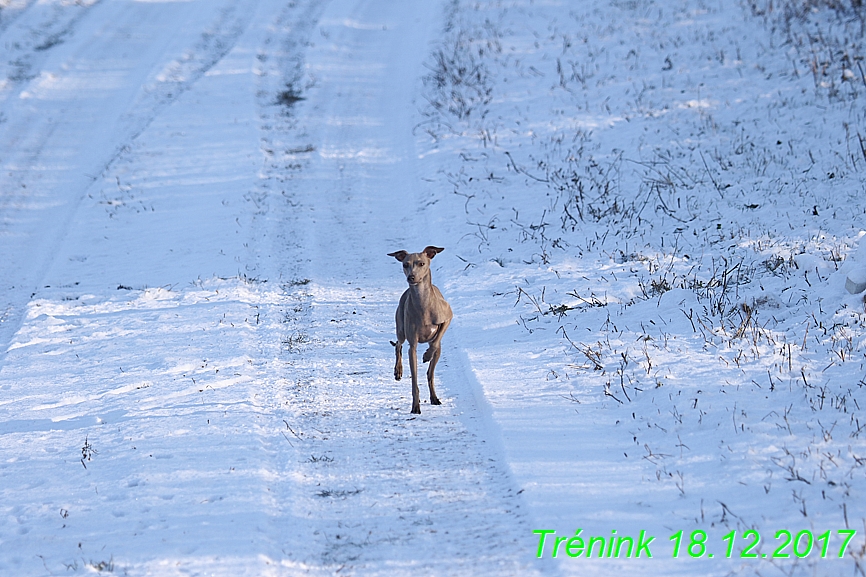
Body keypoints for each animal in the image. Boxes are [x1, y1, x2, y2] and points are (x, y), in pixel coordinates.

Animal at [386, 245, 452, 412]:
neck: (423, 304)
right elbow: (414, 380)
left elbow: (435, 343)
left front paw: (427, 355)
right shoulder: (413, 346)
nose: (411, 277)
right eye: (405, 264)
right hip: (401, 330)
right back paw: (398, 371)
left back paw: (434, 397)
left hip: (438, 350)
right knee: (398, 344)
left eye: (422, 263)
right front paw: (415, 406)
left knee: (430, 372)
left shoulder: (448, 316)